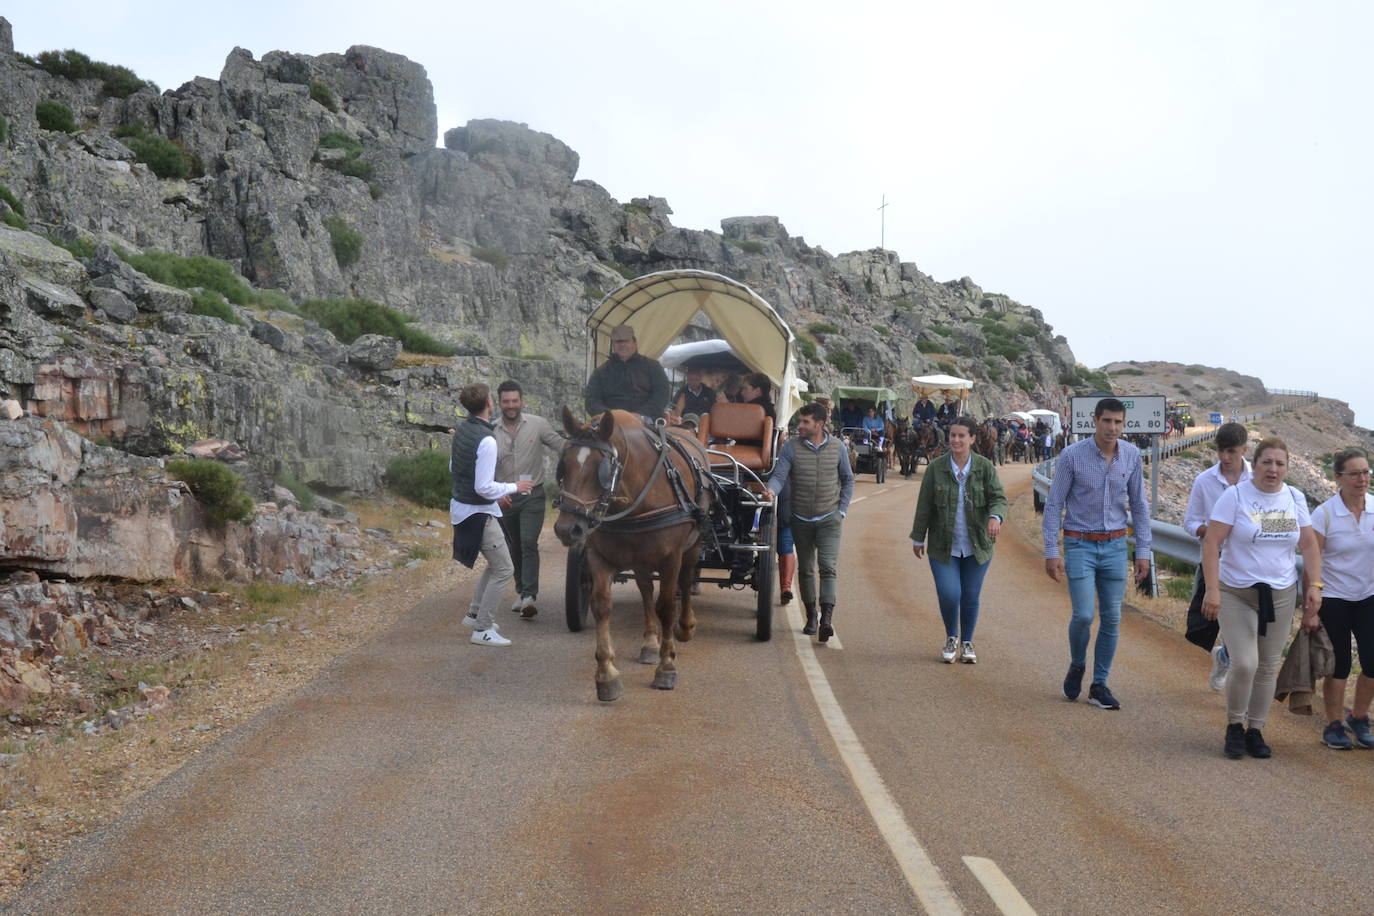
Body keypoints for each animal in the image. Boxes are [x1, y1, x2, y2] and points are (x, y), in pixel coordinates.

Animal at [552, 409, 714, 703]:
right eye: (564, 465)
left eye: (601, 470)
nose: (567, 529)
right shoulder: (597, 556)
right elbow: (602, 605)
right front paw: (607, 676)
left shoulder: (671, 557)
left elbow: (667, 606)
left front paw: (666, 668)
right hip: (640, 556)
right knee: (645, 590)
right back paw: (650, 643)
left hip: (692, 546)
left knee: (686, 581)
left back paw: (685, 627)